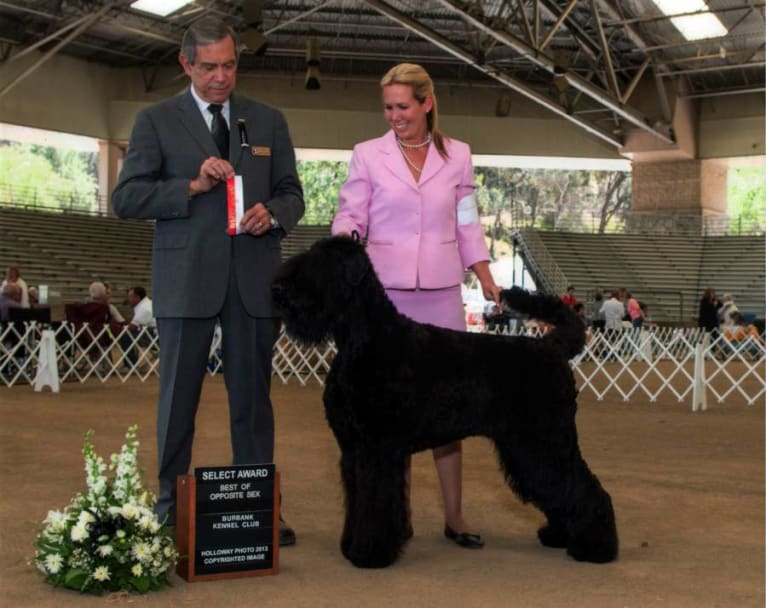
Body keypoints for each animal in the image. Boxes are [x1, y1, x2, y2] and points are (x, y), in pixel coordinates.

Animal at [272, 235, 620, 568]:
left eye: (321, 262)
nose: (279, 289)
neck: (363, 340)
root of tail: (552, 346)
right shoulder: (353, 449)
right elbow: (357, 500)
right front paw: (350, 545)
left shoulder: (376, 449)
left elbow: (375, 502)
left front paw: (369, 554)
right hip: (528, 448)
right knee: (558, 487)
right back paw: (558, 535)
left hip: (543, 443)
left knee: (584, 488)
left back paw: (595, 548)